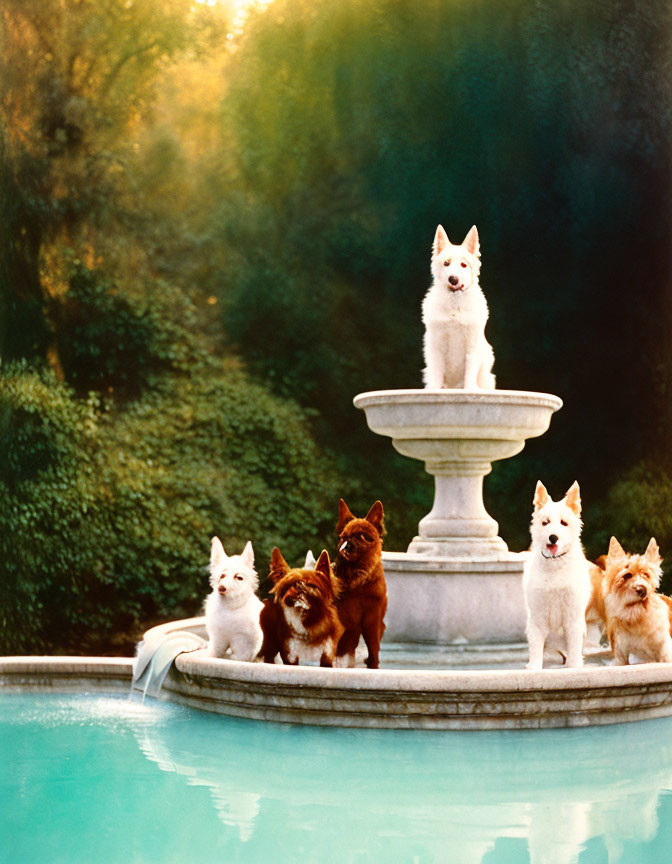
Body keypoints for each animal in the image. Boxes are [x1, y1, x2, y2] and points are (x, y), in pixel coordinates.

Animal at [334, 500, 386, 668]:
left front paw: (373, 666)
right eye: (342, 537)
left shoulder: (373, 619)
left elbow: (373, 647)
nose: (349, 541)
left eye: (363, 536)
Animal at [422, 224, 496, 390]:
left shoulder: (472, 345)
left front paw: (469, 390)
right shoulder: (437, 345)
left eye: (464, 265)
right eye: (446, 263)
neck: (455, 305)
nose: (453, 279)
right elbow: (437, 376)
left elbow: (470, 374)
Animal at [524, 482, 592, 672]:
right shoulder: (537, 617)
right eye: (545, 522)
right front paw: (534, 668)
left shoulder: (572, 617)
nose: (553, 537)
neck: (554, 566)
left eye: (564, 523)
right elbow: (536, 650)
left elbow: (574, 652)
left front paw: (574, 667)